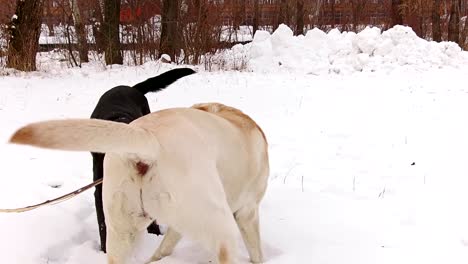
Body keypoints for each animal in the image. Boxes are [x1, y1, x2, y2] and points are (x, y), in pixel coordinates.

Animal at [9, 103, 268, 264]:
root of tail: (148, 137)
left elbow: (164, 246)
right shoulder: (248, 212)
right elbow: (256, 251)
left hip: (121, 231)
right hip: (221, 227)